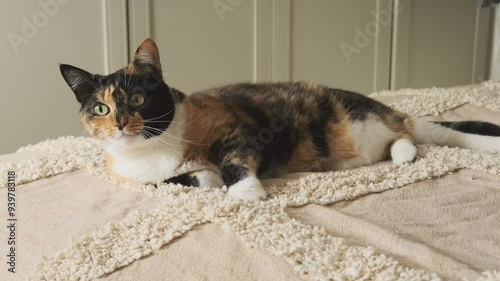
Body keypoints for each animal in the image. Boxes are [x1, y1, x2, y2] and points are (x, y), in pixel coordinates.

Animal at [60, 38, 500, 200]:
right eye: (100, 108)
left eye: (137, 97)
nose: (120, 123)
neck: (152, 151)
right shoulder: (138, 180)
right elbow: (177, 180)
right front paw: (207, 179)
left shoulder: (238, 130)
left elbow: (233, 161)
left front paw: (244, 191)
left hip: (364, 116)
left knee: (413, 130)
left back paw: (408, 151)